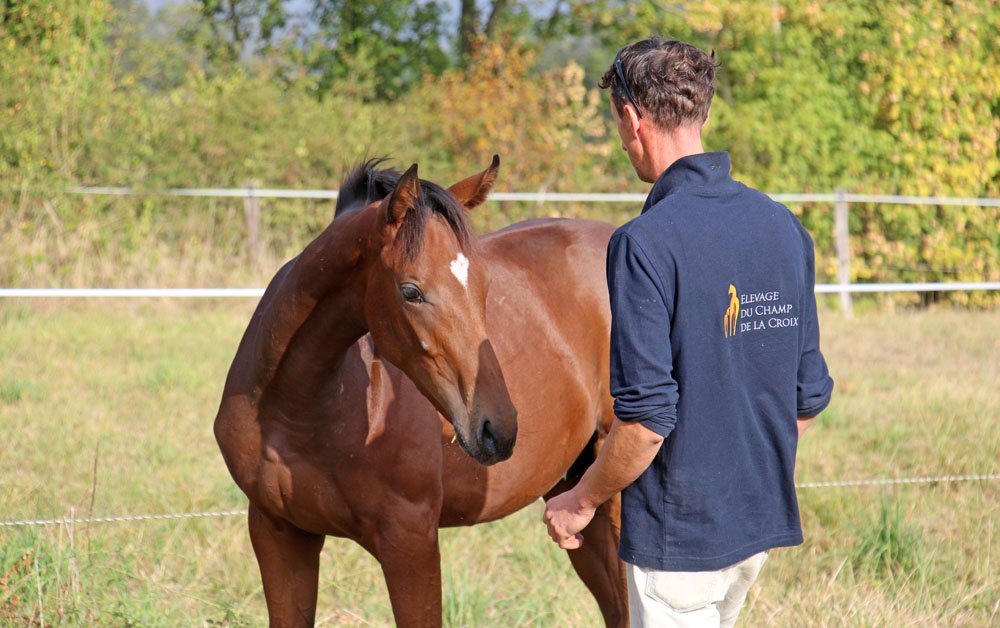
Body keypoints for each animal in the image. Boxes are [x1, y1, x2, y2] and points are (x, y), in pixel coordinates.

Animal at [214, 157, 628, 627]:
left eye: (485, 286)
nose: (498, 429)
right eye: (411, 291)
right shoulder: (278, 533)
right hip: (574, 501)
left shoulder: (410, 542)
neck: (297, 412)